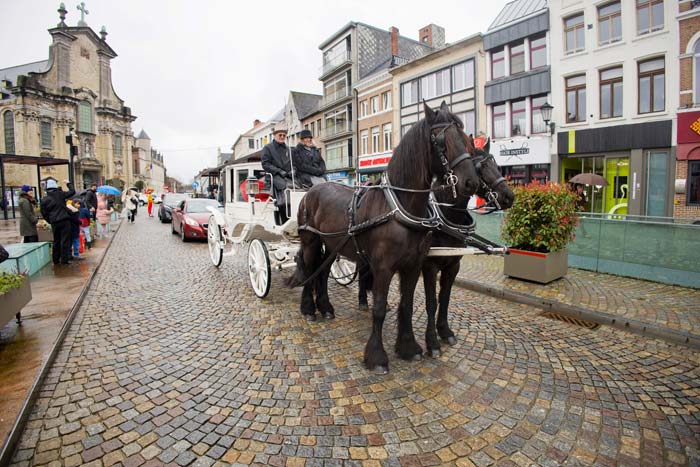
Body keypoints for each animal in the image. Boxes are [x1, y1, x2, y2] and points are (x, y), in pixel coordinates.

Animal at [286, 101, 482, 372]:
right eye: (440, 140)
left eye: (465, 139)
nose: (470, 182)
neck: (401, 206)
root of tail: (310, 192)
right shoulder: (383, 267)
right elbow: (379, 308)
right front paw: (376, 357)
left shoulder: (413, 266)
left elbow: (407, 304)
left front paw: (409, 347)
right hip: (310, 241)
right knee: (309, 269)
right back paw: (308, 309)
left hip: (332, 244)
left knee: (322, 272)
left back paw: (325, 308)